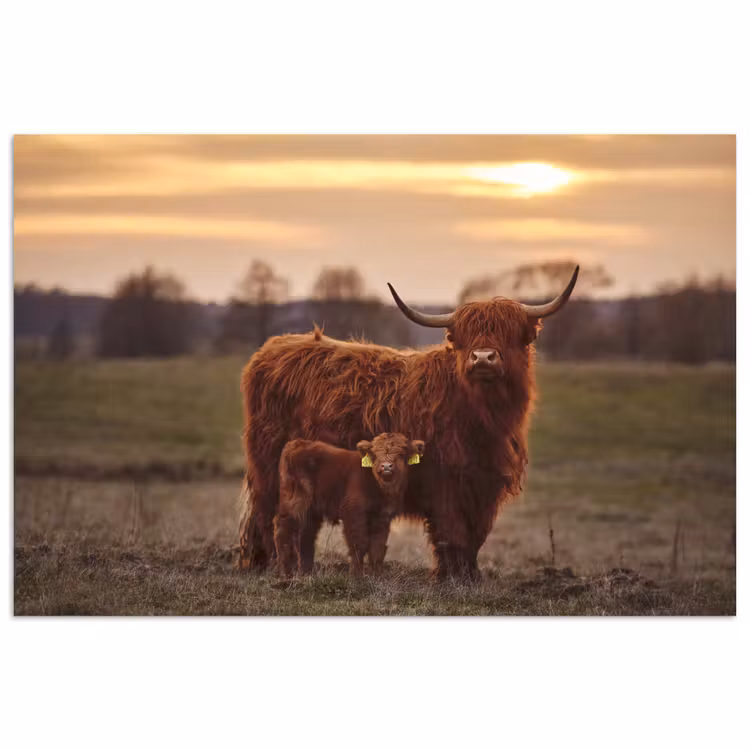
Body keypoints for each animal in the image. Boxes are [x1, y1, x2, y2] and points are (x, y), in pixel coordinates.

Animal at [274, 433, 425, 576]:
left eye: (401, 453)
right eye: (375, 454)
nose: (386, 466)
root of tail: (296, 443)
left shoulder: (383, 517)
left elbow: (377, 547)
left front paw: (377, 576)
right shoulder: (354, 512)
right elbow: (359, 544)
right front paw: (357, 576)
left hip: (311, 509)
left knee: (306, 535)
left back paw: (306, 572)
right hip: (295, 502)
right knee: (284, 529)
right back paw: (285, 573)